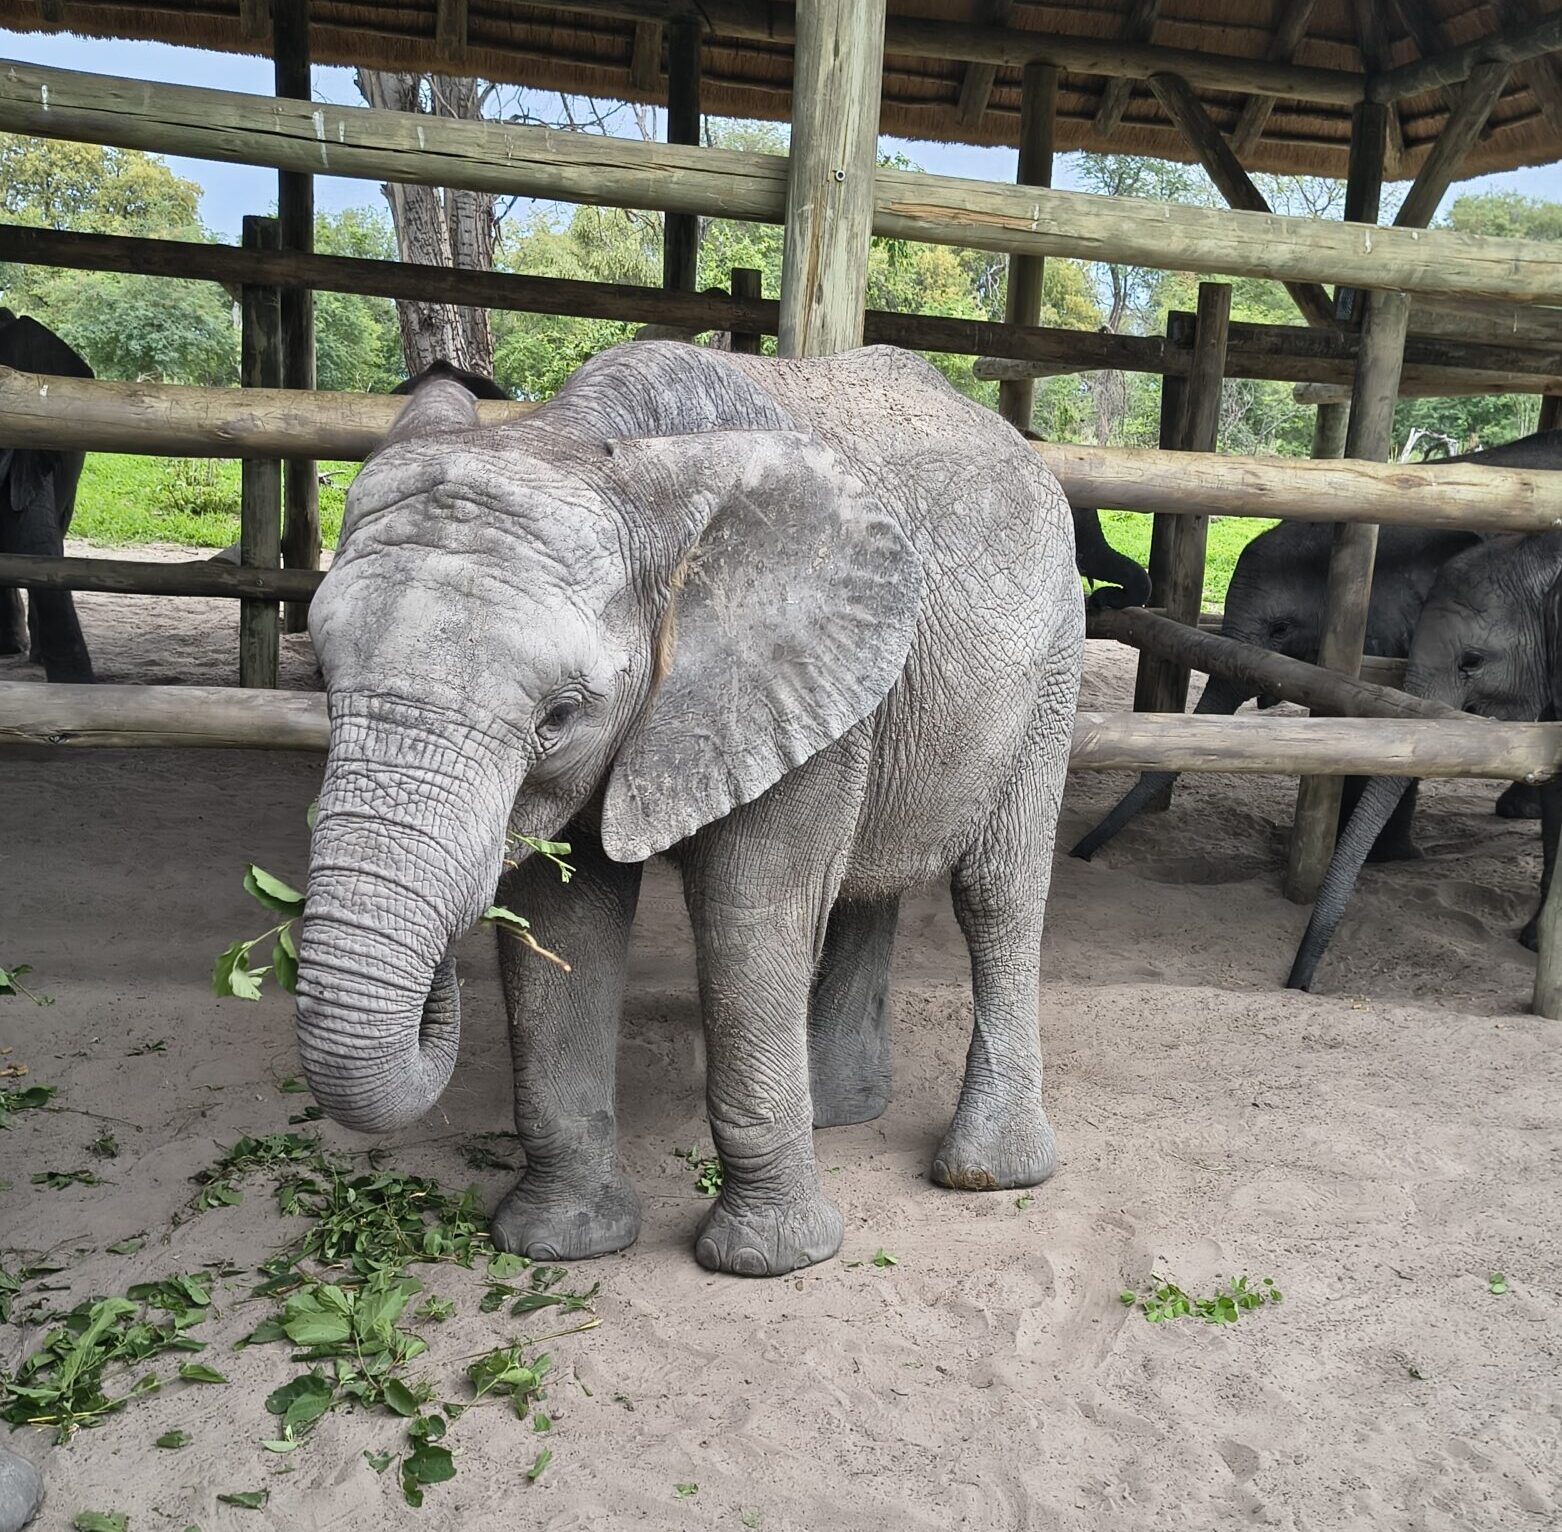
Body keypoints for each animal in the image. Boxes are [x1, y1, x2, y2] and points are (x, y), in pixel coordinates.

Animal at [291, 341, 1084, 1278]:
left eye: (558, 716)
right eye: (319, 676)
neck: (596, 443)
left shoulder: (787, 676)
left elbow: (750, 912)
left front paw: (770, 1262)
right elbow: (561, 921)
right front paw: (558, 1248)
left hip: (1055, 658)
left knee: (997, 891)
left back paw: (985, 1172)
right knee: (868, 886)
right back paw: (838, 1114)